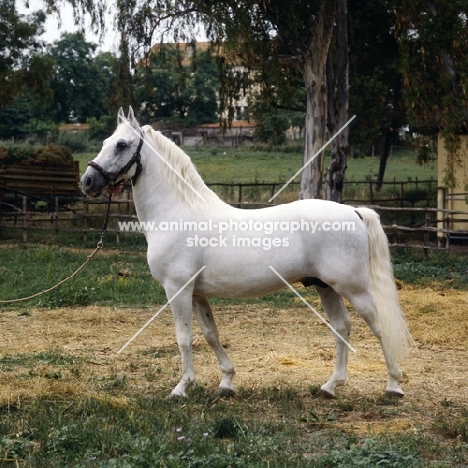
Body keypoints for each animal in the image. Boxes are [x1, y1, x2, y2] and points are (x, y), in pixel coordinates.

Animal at [81, 109, 414, 398]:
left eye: (121, 144)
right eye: (105, 141)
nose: (87, 181)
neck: (177, 213)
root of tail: (353, 211)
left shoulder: (178, 289)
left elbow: (184, 338)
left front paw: (181, 387)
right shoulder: (197, 293)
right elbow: (211, 334)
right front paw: (226, 381)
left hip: (353, 288)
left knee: (378, 326)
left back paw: (393, 385)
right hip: (325, 287)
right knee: (342, 328)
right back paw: (331, 386)